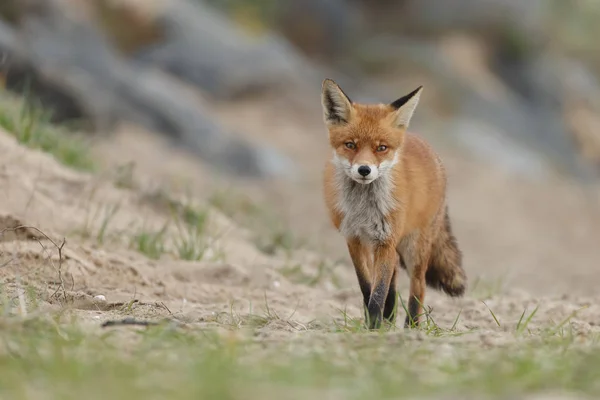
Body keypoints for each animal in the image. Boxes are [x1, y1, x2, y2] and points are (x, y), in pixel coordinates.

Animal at [322, 78, 466, 328]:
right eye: (350, 145)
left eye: (381, 148)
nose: (364, 170)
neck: (363, 209)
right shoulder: (354, 240)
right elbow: (368, 287)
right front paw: (375, 324)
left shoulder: (385, 241)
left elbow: (378, 293)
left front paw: (373, 327)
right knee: (394, 284)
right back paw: (389, 319)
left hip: (415, 248)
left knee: (418, 288)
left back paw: (411, 328)